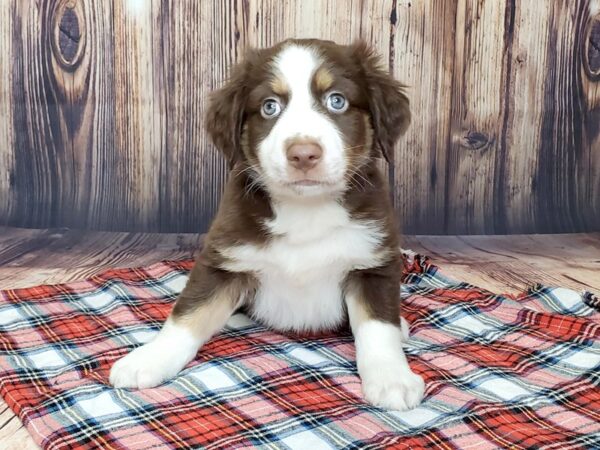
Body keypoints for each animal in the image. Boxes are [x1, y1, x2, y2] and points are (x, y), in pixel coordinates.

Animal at [109, 38, 426, 412]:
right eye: (269, 107)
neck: (306, 210)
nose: (303, 154)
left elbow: (378, 328)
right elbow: (188, 314)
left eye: (337, 101)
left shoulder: (374, 263)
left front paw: (392, 377)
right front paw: (150, 358)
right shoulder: (223, 258)